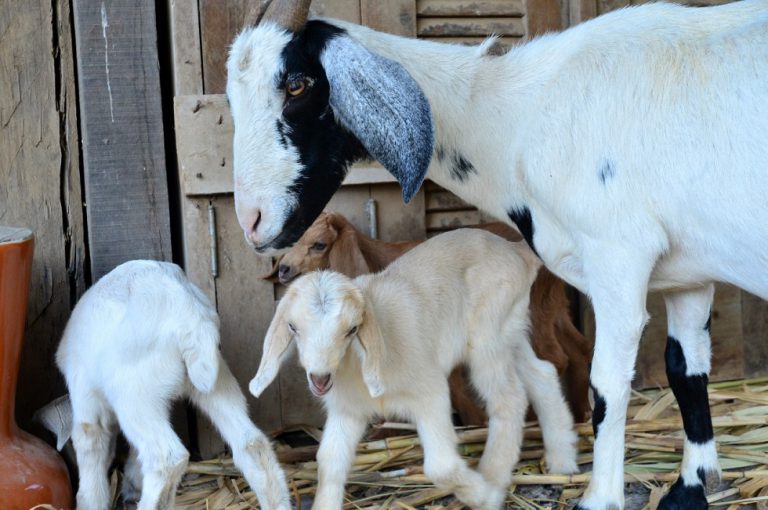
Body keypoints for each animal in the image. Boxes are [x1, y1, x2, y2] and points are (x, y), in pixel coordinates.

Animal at [55, 260, 290, 510]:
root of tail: (187, 311)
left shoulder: (85, 395)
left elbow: (89, 443)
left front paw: (89, 502)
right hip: (215, 378)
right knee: (252, 443)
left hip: (134, 395)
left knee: (166, 458)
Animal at [250, 229, 579, 509]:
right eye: (293, 327)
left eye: (352, 330)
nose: (319, 379)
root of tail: (516, 251)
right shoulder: (348, 410)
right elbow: (329, 461)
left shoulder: (430, 392)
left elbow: (441, 466)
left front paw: (484, 495)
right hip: (510, 328)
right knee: (543, 373)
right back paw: (563, 461)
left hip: (489, 335)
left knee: (509, 399)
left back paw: (494, 480)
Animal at [265, 211, 592, 422]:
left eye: (319, 244)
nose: (284, 269)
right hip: (554, 307)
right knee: (579, 348)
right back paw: (580, 413)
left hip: (530, 311)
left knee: (554, 357)